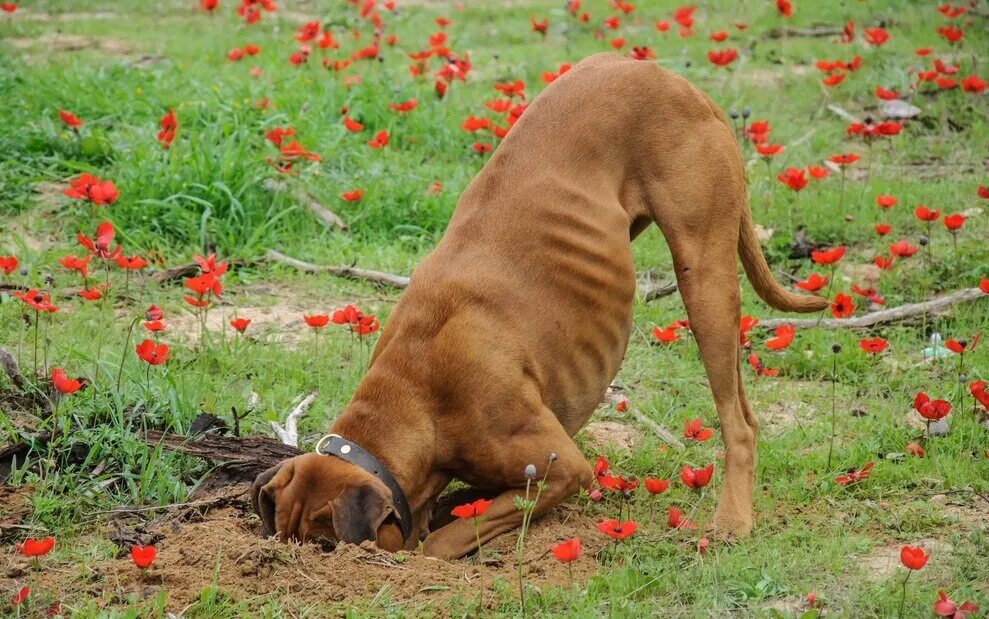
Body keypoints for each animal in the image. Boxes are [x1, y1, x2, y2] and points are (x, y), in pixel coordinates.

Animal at [249, 53, 824, 560]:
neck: (416, 390)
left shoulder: (561, 468)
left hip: (704, 279)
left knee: (739, 421)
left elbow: (446, 539)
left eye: (325, 549)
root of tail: (671, 79)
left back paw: (732, 521)